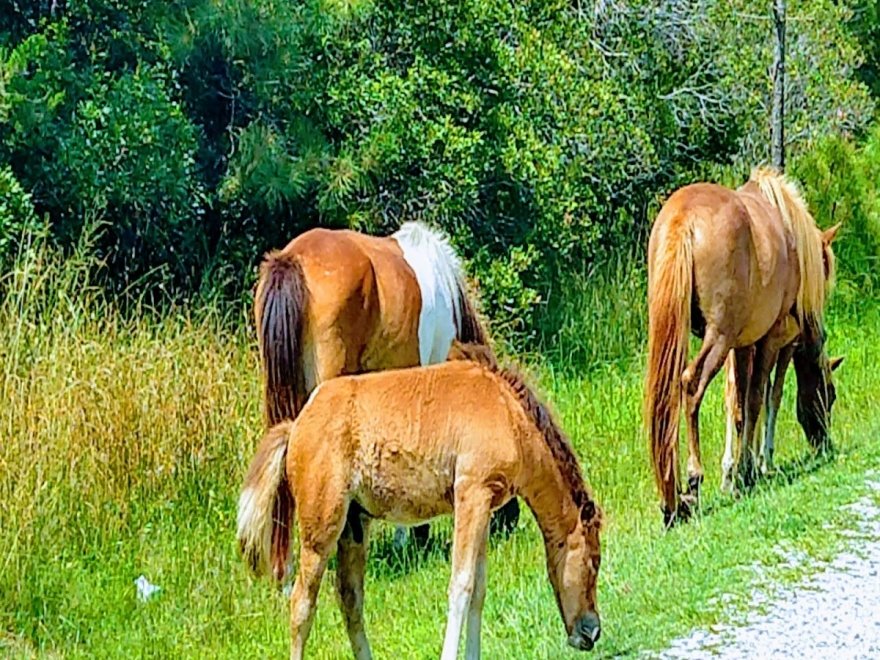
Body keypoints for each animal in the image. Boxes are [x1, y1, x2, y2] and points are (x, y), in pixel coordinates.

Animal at [237, 346, 600, 660]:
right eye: (593, 562)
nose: (592, 632)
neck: (510, 416)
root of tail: (297, 424)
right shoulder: (472, 494)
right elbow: (461, 586)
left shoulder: (484, 507)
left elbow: (478, 591)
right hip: (322, 527)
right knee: (302, 603)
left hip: (354, 525)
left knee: (350, 599)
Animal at [648, 166, 840, 524]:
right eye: (830, 394)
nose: (825, 443)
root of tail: (684, 218)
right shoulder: (770, 340)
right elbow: (757, 400)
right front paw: (748, 471)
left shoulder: (743, 345)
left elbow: (739, 406)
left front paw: (738, 472)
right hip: (718, 337)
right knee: (691, 385)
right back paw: (693, 482)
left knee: (667, 400)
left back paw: (673, 499)